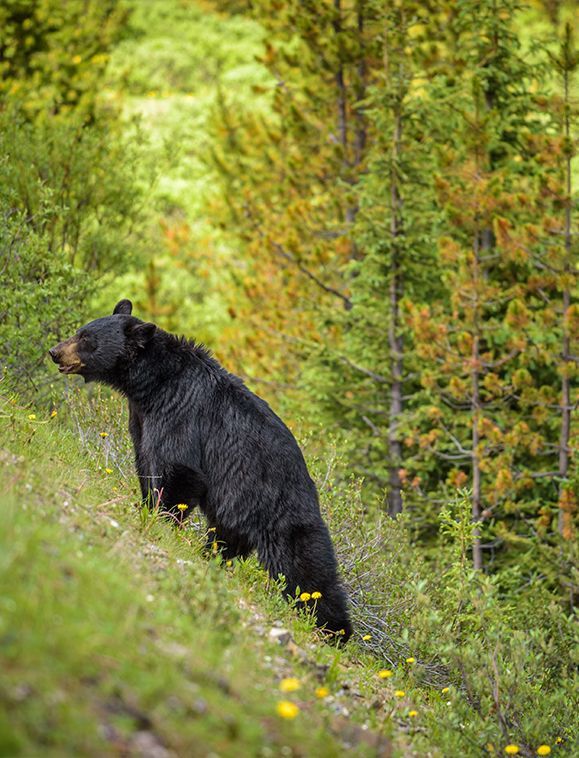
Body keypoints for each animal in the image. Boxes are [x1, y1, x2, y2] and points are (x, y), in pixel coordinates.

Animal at [49, 299, 352, 641]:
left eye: (87, 338)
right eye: (81, 331)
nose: (55, 352)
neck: (152, 385)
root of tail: (313, 491)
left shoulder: (180, 413)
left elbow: (179, 470)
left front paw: (160, 521)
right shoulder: (141, 419)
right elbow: (146, 464)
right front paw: (145, 506)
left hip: (282, 514)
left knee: (308, 571)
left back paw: (334, 629)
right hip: (238, 508)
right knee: (226, 539)